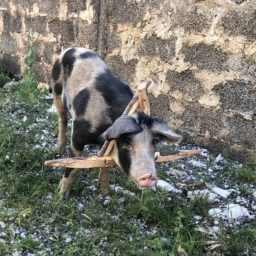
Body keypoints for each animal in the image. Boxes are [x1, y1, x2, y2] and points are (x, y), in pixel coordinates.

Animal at [50, 47, 182, 197]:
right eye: (127, 140)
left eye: (154, 141)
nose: (149, 176)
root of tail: (72, 48)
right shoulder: (77, 136)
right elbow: (73, 167)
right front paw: (61, 195)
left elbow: (105, 163)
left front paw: (105, 192)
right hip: (56, 89)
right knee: (62, 119)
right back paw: (59, 151)